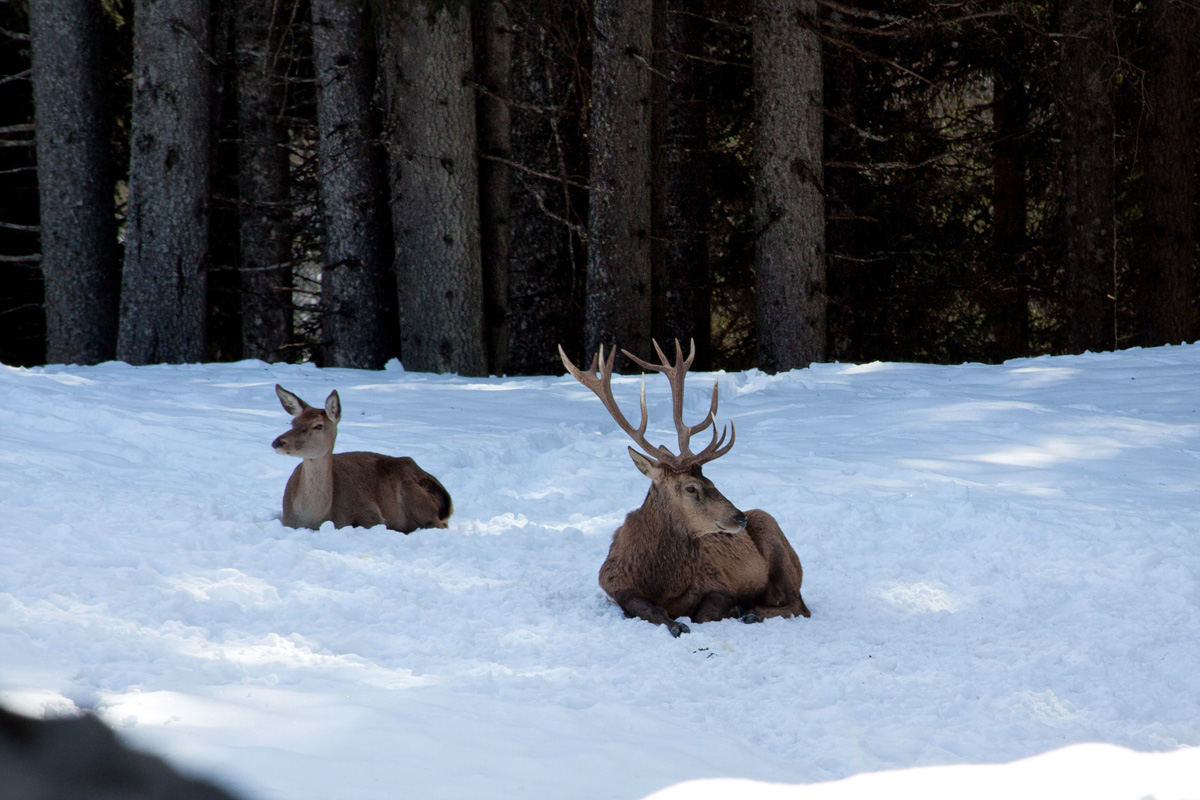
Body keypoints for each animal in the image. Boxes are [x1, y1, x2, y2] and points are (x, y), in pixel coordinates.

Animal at [271, 385, 453, 533]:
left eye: (318, 425)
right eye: (293, 422)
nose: (277, 442)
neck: (314, 518)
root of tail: (447, 503)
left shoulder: (370, 513)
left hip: (414, 496)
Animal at [560, 339, 811, 637]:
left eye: (712, 481)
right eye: (691, 488)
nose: (740, 518)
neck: (662, 583)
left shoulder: (720, 584)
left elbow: (704, 613)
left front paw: (733, 610)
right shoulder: (615, 585)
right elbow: (648, 609)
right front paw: (675, 624)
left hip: (777, 542)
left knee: (799, 605)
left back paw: (753, 612)